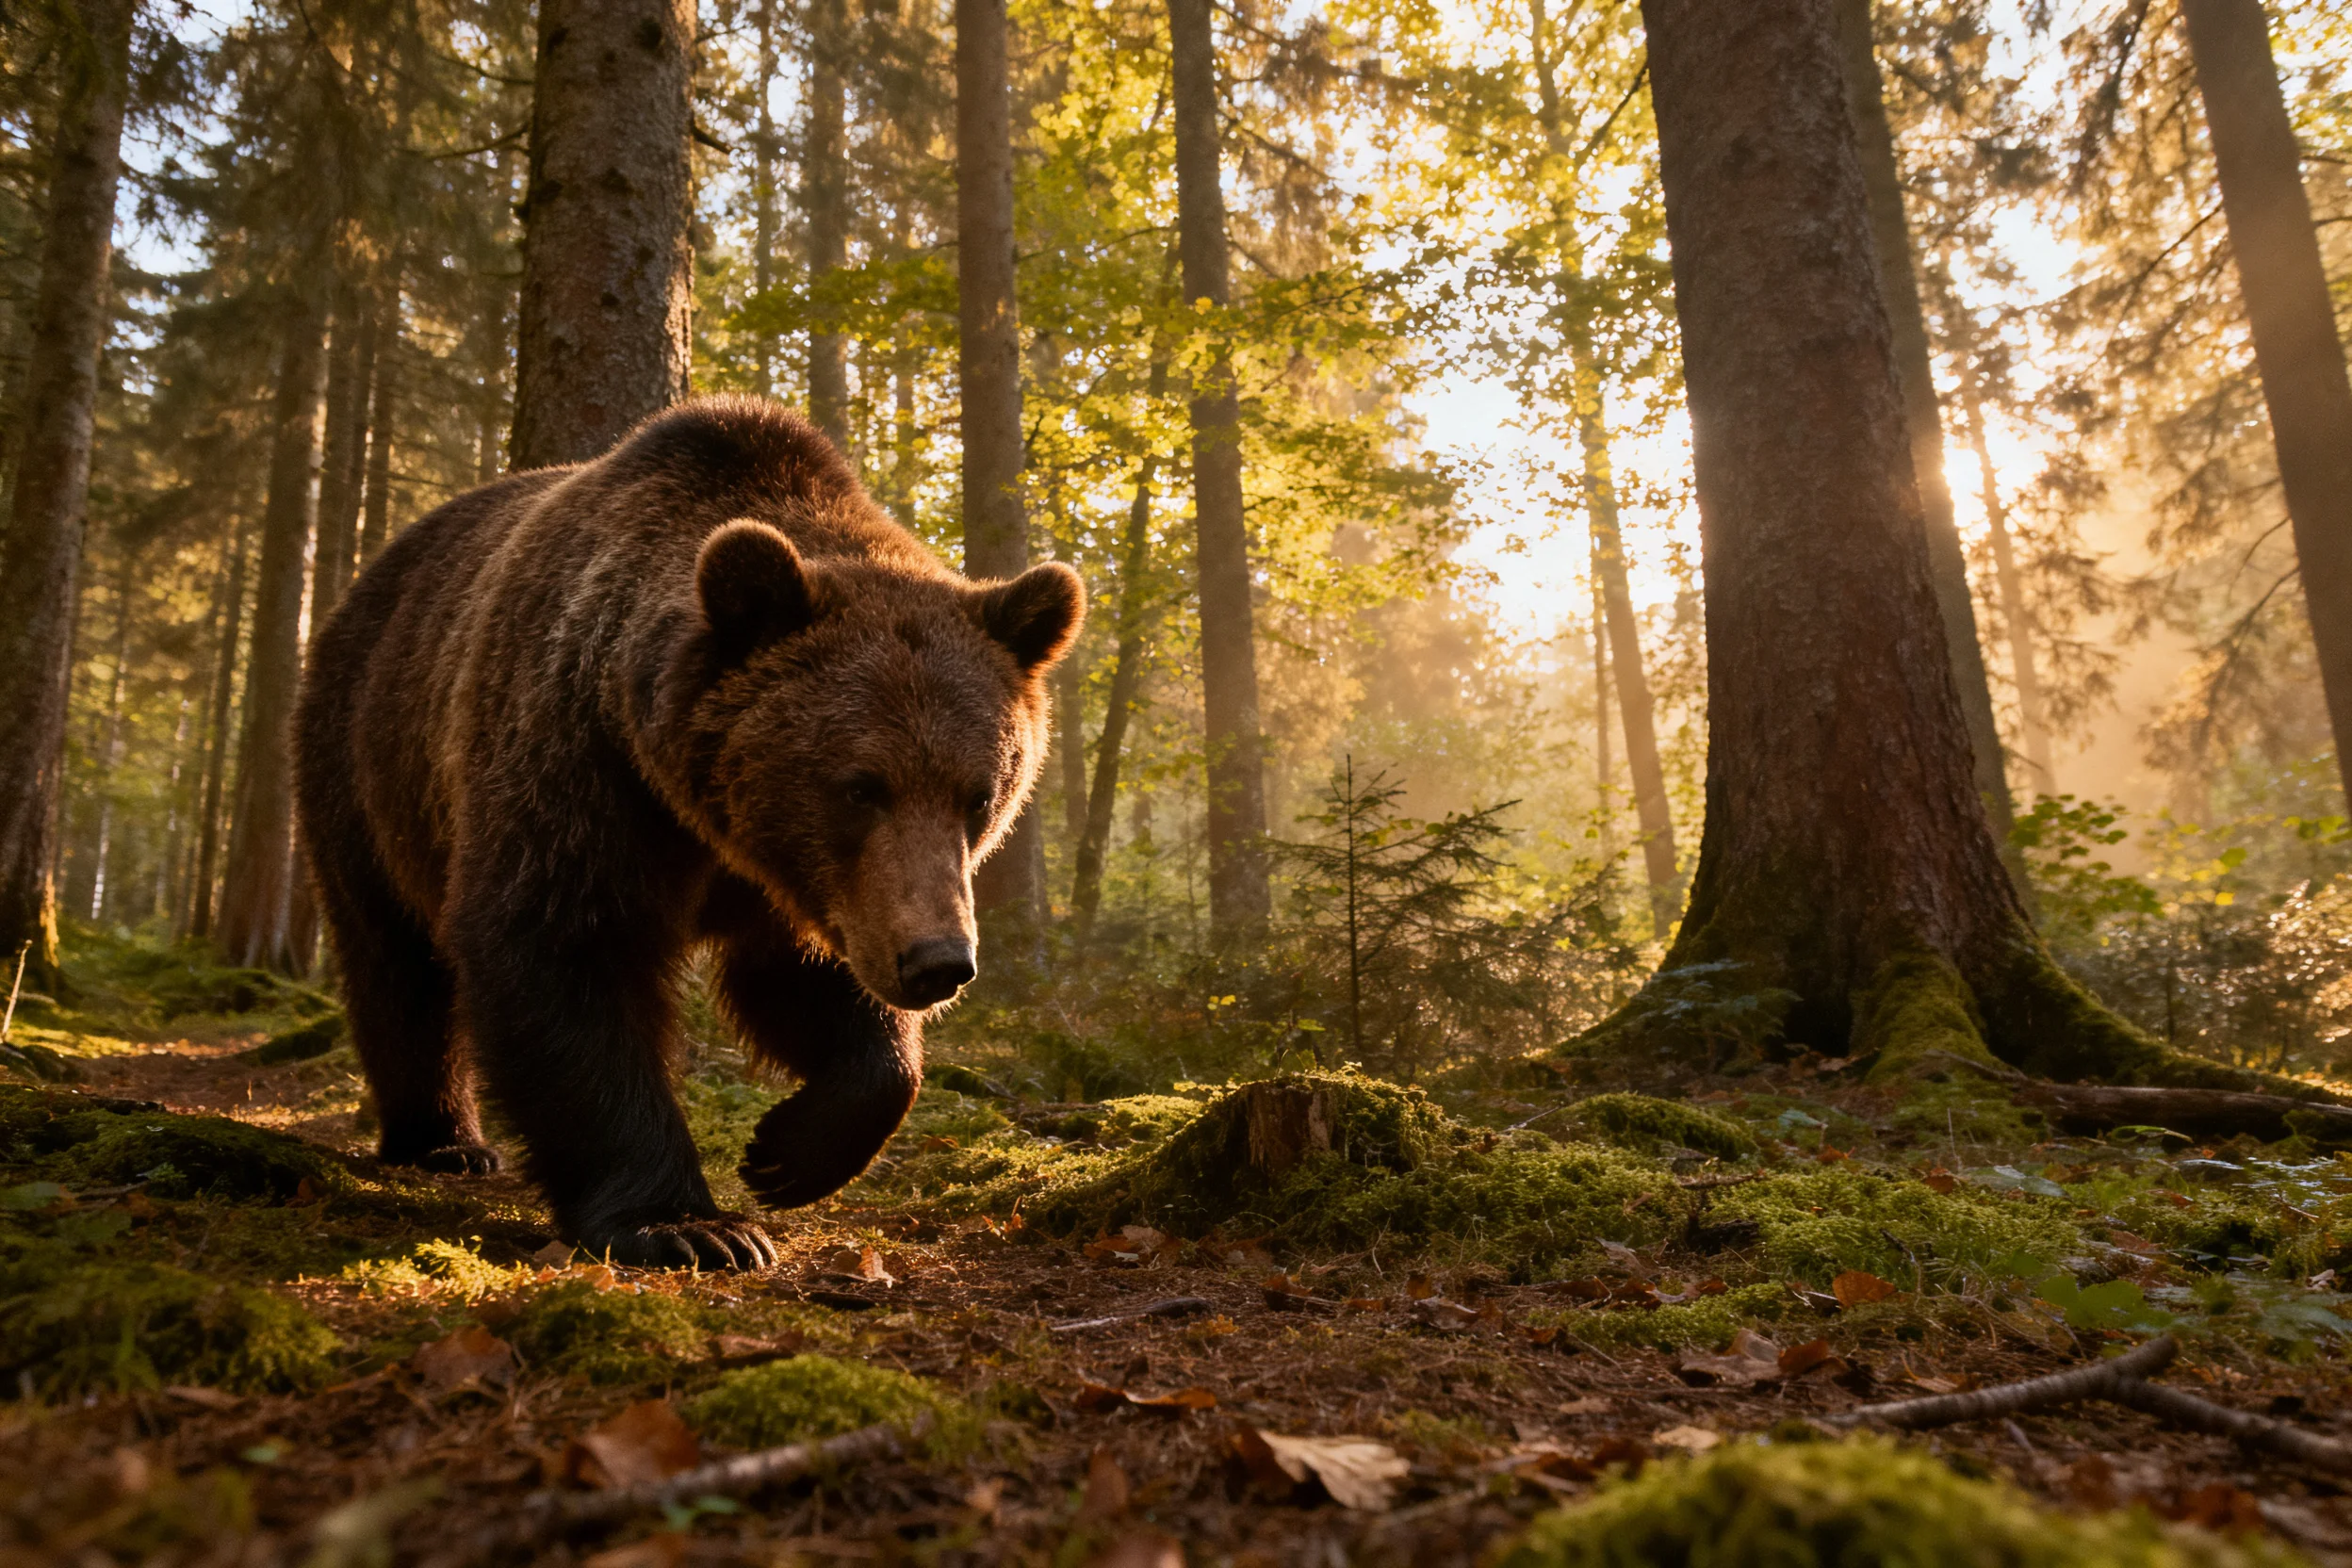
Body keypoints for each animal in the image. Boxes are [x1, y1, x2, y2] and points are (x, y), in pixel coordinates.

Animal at [293, 396, 1083, 1268]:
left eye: (979, 796)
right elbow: (565, 954)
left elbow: (806, 987)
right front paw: (690, 1225)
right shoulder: (582, 774)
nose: (938, 961)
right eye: (858, 787)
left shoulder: (802, 886)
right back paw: (444, 1140)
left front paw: (788, 1152)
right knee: (394, 959)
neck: (703, 816)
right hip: (366, 764)